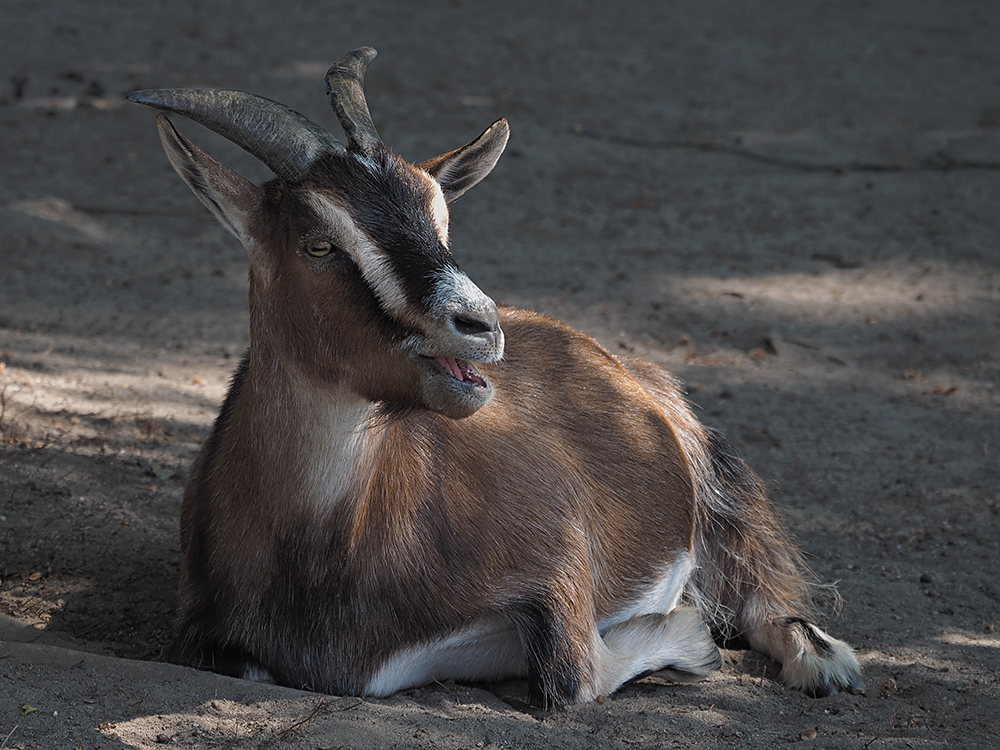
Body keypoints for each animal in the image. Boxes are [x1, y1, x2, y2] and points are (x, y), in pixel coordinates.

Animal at [125, 48, 860, 712]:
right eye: (318, 242)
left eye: (440, 220)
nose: (479, 324)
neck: (327, 545)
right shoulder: (205, 635)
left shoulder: (557, 562)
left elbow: (572, 678)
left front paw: (690, 632)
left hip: (711, 479)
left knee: (758, 578)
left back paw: (822, 659)